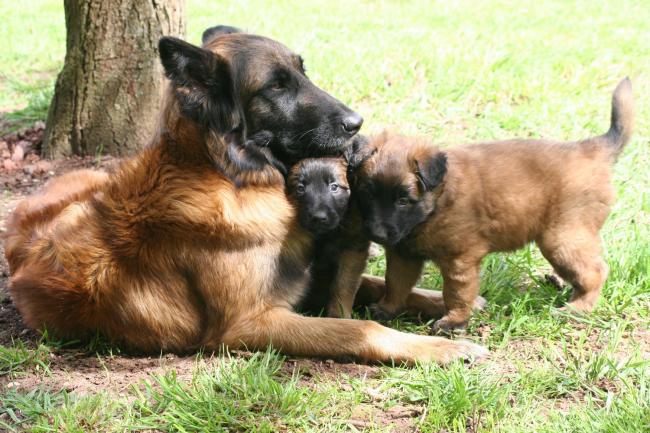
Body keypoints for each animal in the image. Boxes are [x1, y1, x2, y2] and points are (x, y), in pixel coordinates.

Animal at [5, 24, 484, 362]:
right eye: (275, 86)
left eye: (302, 72)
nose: (356, 123)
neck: (232, 179)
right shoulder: (250, 323)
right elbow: (358, 329)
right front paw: (440, 348)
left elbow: (373, 283)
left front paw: (446, 304)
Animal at [354, 79, 632, 330]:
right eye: (368, 194)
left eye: (403, 200)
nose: (376, 234)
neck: (435, 207)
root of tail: (591, 148)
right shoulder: (403, 255)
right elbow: (395, 283)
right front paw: (386, 308)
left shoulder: (460, 261)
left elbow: (456, 294)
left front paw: (454, 321)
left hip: (563, 238)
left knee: (595, 272)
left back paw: (578, 308)